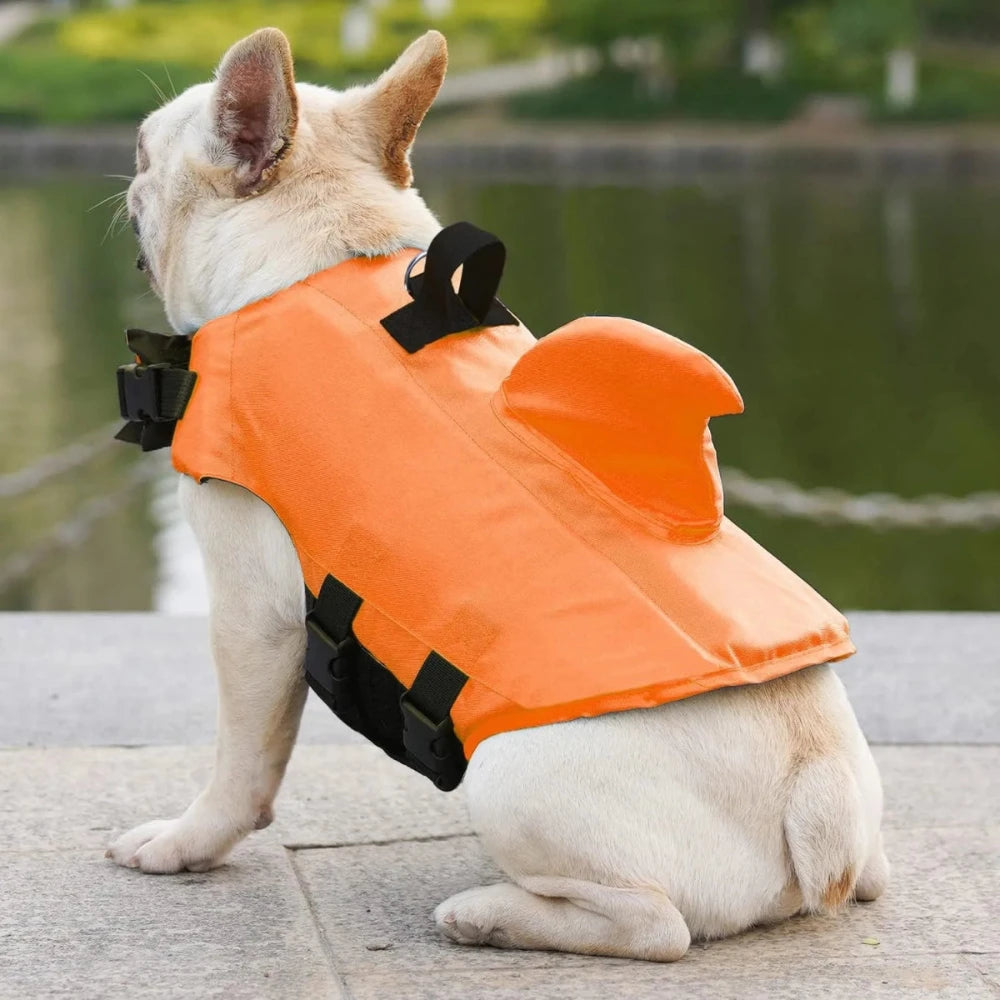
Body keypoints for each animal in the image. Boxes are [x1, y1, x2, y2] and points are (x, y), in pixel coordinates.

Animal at [111, 27, 892, 956]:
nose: (127, 170)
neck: (321, 256)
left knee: (655, 925)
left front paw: (183, 844)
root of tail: (820, 809)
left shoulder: (252, 614)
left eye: (146, 149)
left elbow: (241, 760)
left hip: (508, 777)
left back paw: (488, 915)